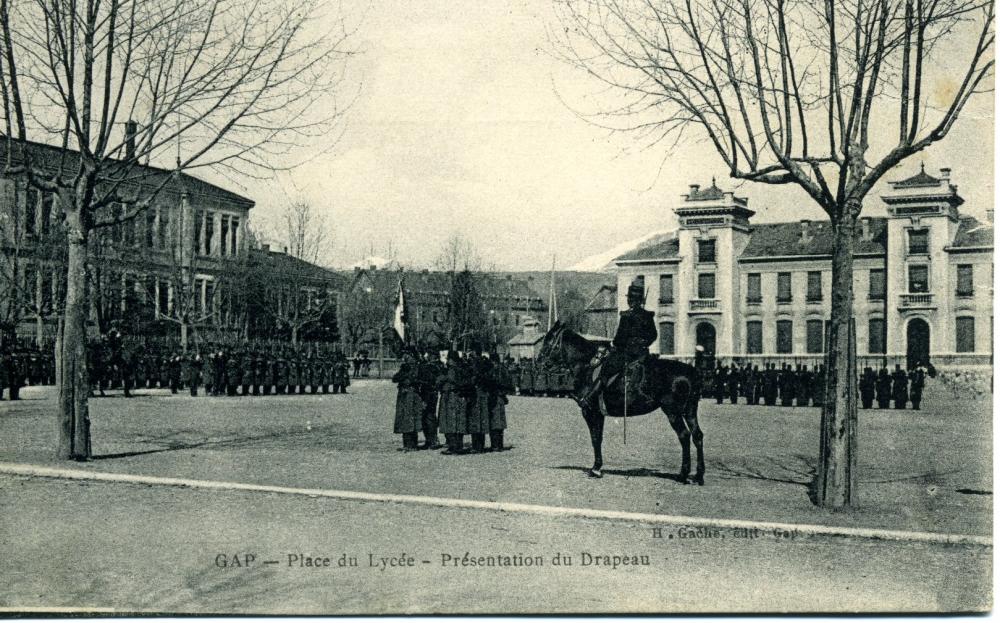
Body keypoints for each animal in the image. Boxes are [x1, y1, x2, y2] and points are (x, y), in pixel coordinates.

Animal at [536, 322, 708, 488]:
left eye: (548, 341)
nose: (539, 362)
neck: (587, 366)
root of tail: (692, 372)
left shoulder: (591, 412)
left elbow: (595, 438)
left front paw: (596, 469)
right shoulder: (599, 414)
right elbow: (598, 438)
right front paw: (598, 467)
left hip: (672, 412)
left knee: (684, 435)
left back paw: (683, 475)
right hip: (689, 410)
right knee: (697, 435)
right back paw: (698, 476)